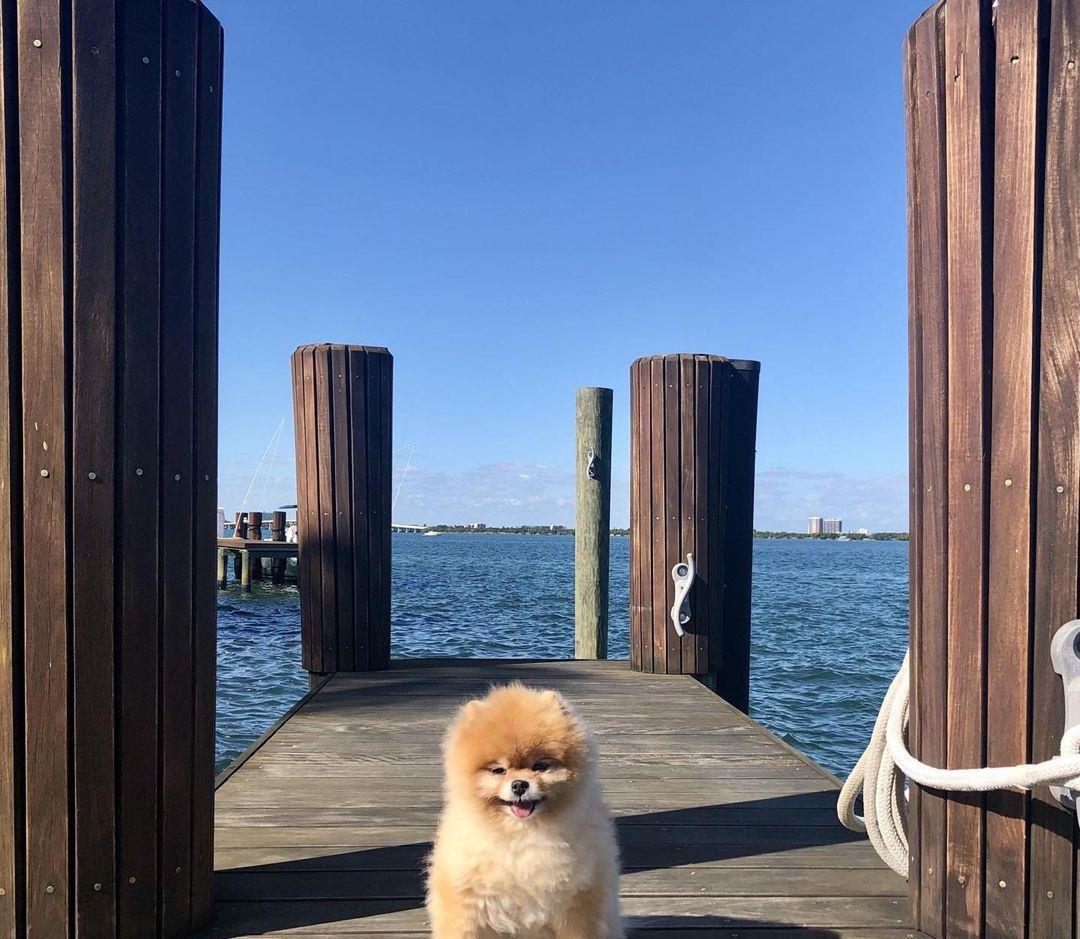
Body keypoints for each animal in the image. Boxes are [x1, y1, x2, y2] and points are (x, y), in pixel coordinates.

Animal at [423, 682, 622, 937]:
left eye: (540, 766)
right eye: (498, 771)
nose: (519, 784)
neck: (520, 834)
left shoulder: (578, 903)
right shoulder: (466, 904)